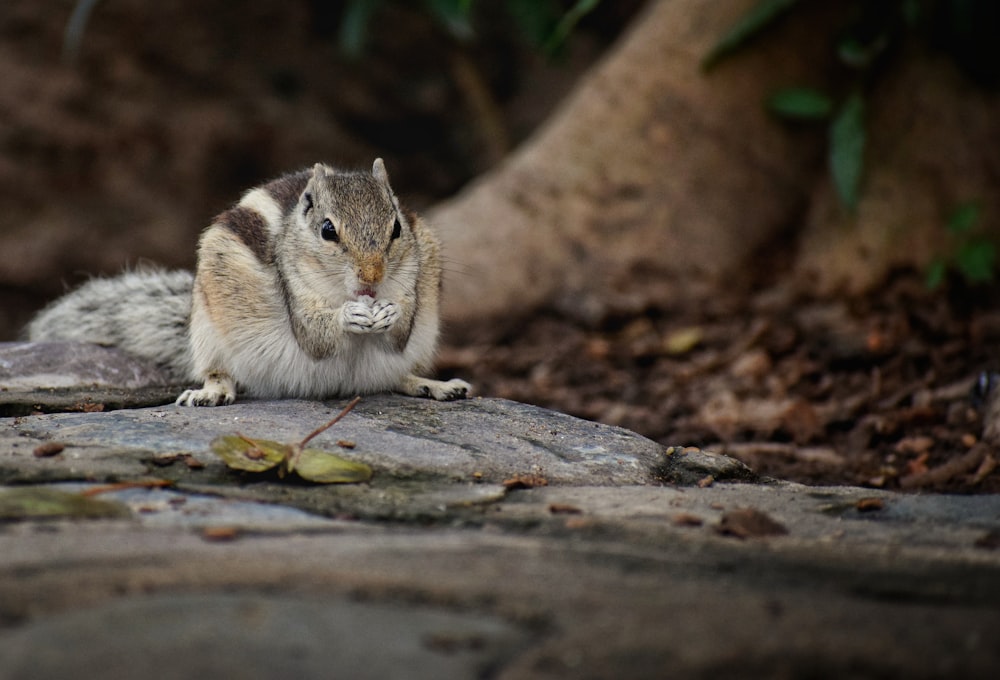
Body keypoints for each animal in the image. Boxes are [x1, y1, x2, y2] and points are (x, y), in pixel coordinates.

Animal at [27, 159, 472, 404]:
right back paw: (212, 392)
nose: (372, 279)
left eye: (396, 227)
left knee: (398, 375)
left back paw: (434, 385)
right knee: (216, 370)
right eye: (327, 230)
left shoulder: (414, 282)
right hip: (207, 332)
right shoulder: (296, 290)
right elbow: (314, 337)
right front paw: (349, 316)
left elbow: (400, 329)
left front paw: (390, 311)